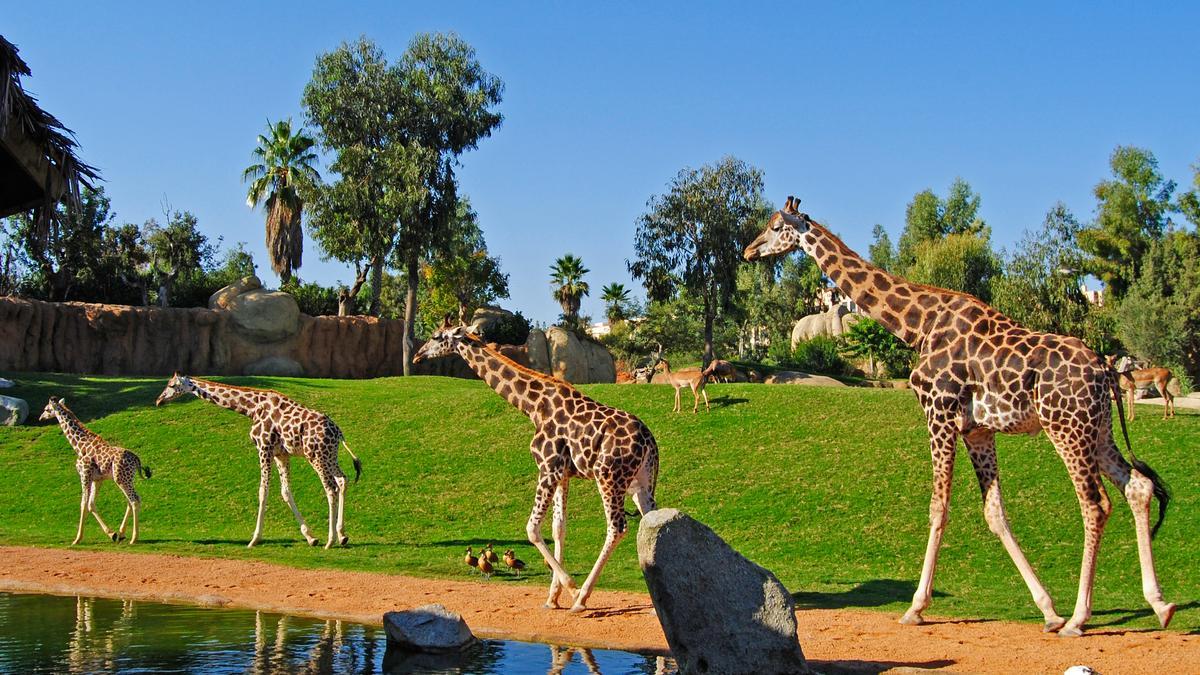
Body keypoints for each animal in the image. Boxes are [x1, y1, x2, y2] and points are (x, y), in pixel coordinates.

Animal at [38, 396, 151, 542]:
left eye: (47, 409)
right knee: (131, 500)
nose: (41, 417)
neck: (79, 446)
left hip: (121, 479)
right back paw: (121, 533)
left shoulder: (84, 474)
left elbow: (83, 504)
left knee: (134, 500)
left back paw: (133, 538)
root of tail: (137, 459)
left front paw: (77, 539)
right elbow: (91, 504)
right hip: (125, 479)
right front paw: (111, 534)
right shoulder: (97, 479)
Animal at [154, 372, 360, 547]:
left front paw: (254, 539)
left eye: (171, 385)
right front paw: (310, 537)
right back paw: (342, 535)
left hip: (315, 456)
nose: (158, 400)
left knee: (330, 488)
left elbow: (263, 491)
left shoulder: (263, 447)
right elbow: (285, 491)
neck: (251, 408)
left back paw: (330, 541)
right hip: (329, 455)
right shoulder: (280, 454)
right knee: (342, 480)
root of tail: (338, 432)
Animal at [410, 314, 657, 610]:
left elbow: (532, 529)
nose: (417, 355)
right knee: (652, 519)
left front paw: (570, 588)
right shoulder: (563, 474)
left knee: (617, 527)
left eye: (437, 336)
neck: (532, 406)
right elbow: (558, 528)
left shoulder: (547, 467)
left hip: (609, 477)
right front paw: (553, 597)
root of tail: (649, 440)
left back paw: (582, 598)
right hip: (640, 482)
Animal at [744, 194, 1176, 634]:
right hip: (1098, 429)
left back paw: (1079, 617)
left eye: (776, 227)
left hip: (1066, 427)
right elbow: (994, 512)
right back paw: (1159, 604)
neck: (918, 325)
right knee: (1138, 487)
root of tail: (1105, 370)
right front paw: (1047, 609)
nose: (748, 250)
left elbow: (938, 507)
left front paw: (916, 607)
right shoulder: (977, 430)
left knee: (1095, 504)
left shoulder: (938, 411)